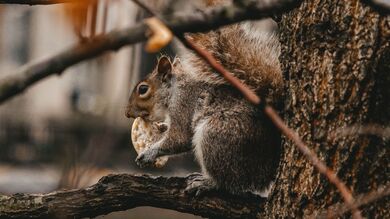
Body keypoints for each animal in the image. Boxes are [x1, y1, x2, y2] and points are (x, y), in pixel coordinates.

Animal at [126, 22, 282, 197]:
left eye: (143, 89)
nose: (127, 113)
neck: (174, 90)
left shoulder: (183, 104)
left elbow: (179, 139)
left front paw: (148, 153)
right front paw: (162, 127)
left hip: (217, 137)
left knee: (228, 181)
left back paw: (207, 183)